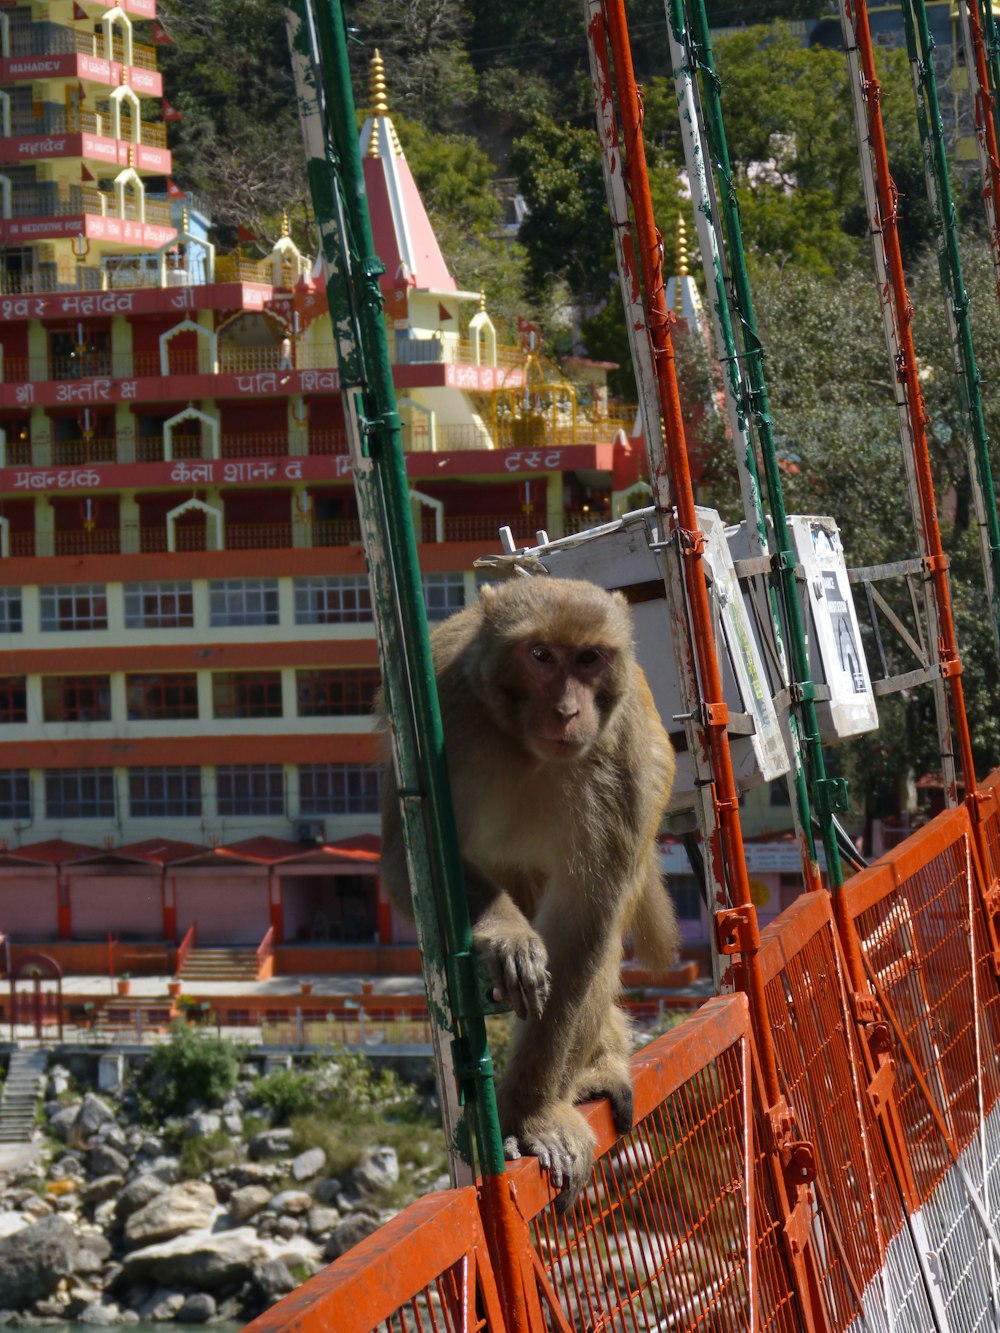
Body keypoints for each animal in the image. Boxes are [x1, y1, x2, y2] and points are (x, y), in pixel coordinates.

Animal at [378, 578, 682, 1205]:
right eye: (540, 655)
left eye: (589, 659)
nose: (567, 711)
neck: (526, 748)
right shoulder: (439, 718)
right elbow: (412, 858)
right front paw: (507, 941)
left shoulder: (622, 761)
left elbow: (583, 927)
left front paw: (530, 1113)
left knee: (598, 937)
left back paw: (597, 1067)